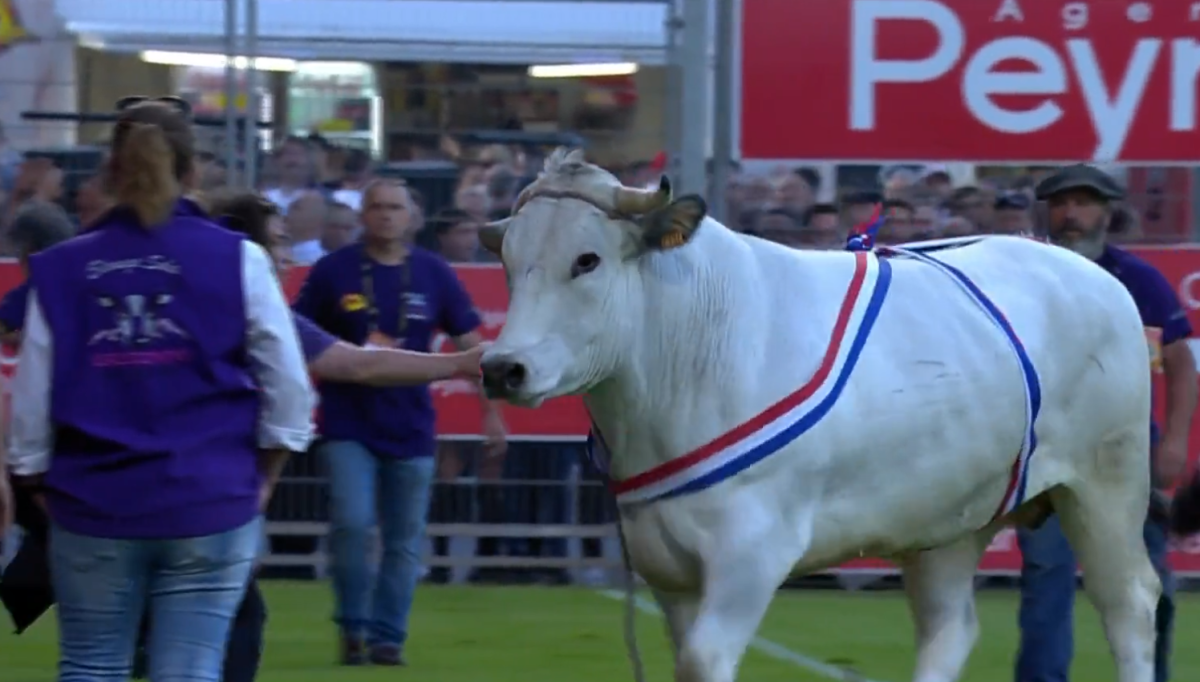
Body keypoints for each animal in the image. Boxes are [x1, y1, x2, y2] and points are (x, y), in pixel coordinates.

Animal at [480, 148, 1161, 682]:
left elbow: (704, 660)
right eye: (508, 262)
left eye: (587, 259)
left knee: (1129, 606)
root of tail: (1081, 267)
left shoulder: (751, 553)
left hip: (1107, 483)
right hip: (950, 520)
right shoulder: (665, 568)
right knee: (949, 630)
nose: (502, 368)